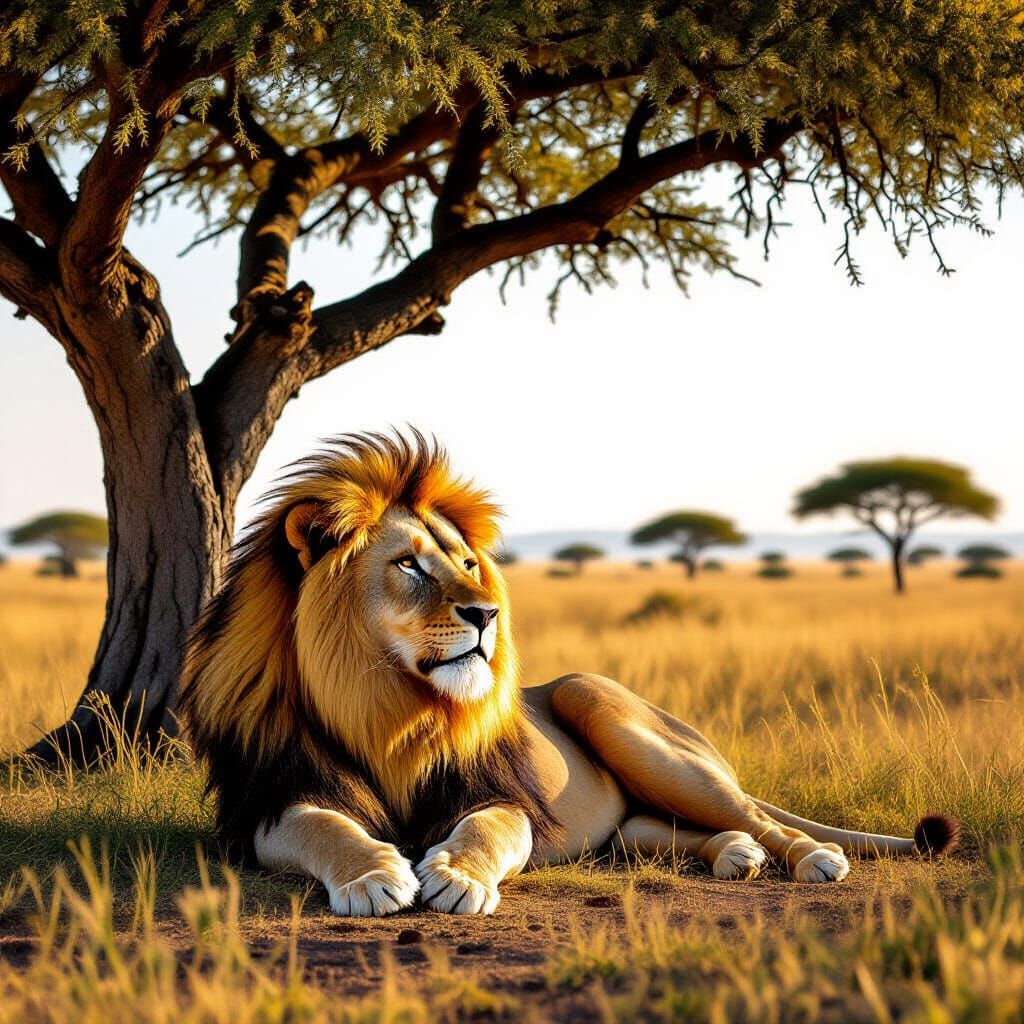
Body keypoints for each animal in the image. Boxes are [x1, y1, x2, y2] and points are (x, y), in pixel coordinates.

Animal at [180, 431, 958, 917]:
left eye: (467, 562)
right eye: (408, 565)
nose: (487, 613)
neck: (385, 706)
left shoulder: (499, 794)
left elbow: (488, 830)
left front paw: (455, 876)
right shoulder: (269, 801)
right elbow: (325, 829)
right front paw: (374, 875)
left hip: (615, 714)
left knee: (756, 815)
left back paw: (811, 856)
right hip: (631, 819)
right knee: (662, 832)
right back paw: (733, 856)